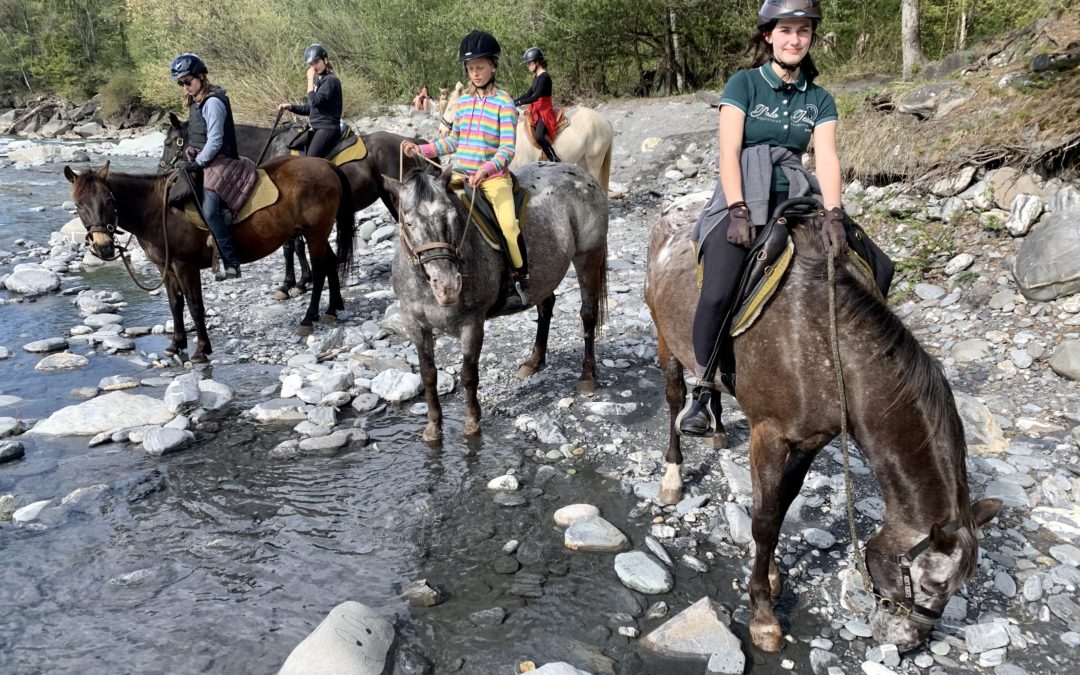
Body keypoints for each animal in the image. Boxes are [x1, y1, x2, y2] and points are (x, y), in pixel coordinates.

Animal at [64, 158, 354, 360]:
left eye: (109, 200)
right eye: (78, 204)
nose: (103, 247)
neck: (159, 210)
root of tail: (327, 164)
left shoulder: (185, 266)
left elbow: (194, 306)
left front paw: (202, 349)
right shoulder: (165, 268)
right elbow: (175, 304)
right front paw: (176, 344)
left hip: (314, 234)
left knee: (319, 270)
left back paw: (309, 318)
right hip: (317, 235)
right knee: (330, 262)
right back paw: (332, 309)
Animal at [159, 112, 429, 293]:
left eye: (170, 142)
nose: (162, 170)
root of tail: (409, 142)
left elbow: (293, 247)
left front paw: (295, 283)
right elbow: (293, 247)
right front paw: (296, 281)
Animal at [386, 160, 609, 440]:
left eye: (452, 217)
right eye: (409, 223)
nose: (447, 286)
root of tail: (579, 172)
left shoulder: (472, 324)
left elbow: (469, 375)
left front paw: (472, 422)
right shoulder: (415, 324)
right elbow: (428, 375)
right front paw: (433, 426)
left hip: (589, 256)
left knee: (588, 314)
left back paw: (587, 376)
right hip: (544, 274)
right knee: (545, 307)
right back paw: (533, 362)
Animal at [639, 193, 1002, 652]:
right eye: (931, 585)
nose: (908, 642)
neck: (830, 348)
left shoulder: (813, 439)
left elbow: (782, 506)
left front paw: (772, 573)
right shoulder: (769, 435)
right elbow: (764, 521)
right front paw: (763, 614)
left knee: (711, 384)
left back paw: (716, 428)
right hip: (664, 337)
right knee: (674, 399)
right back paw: (673, 474)